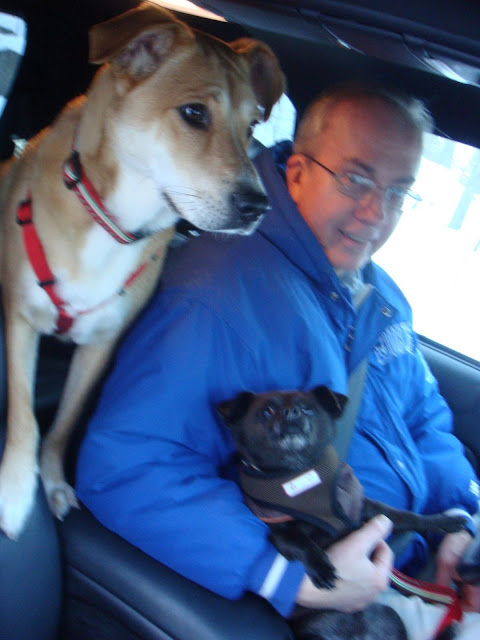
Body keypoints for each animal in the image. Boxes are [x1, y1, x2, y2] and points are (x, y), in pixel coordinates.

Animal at [0, 2, 285, 540]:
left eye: (253, 128)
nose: (258, 207)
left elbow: (63, 423)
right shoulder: (21, 317)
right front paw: (14, 490)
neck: (110, 221)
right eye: (194, 113)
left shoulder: (100, 345)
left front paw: (52, 480)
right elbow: (25, 414)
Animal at [217, 387, 468, 640]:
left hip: (391, 617)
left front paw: (445, 522)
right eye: (267, 412)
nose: (292, 412)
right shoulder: (278, 531)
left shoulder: (364, 510)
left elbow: (404, 516)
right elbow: (301, 541)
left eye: (308, 409)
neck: (299, 475)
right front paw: (321, 567)